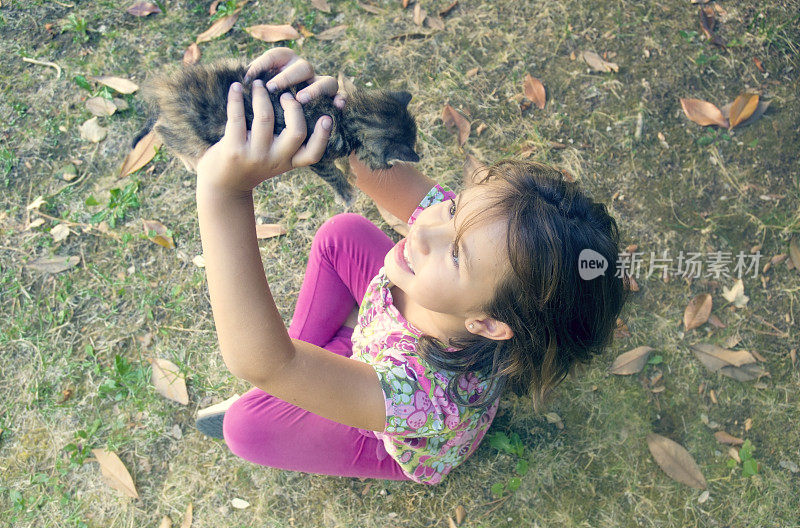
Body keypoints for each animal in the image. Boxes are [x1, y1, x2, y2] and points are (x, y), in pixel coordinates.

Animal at [133, 59, 418, 204]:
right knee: (162, 130)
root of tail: (166, 91)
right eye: (390, 164)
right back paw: (188, 160)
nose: (391, 169)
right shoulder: (316, 153)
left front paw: (349, 171)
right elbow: (330, 173)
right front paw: (345, 193)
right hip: (196, 129)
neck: (346, 118)